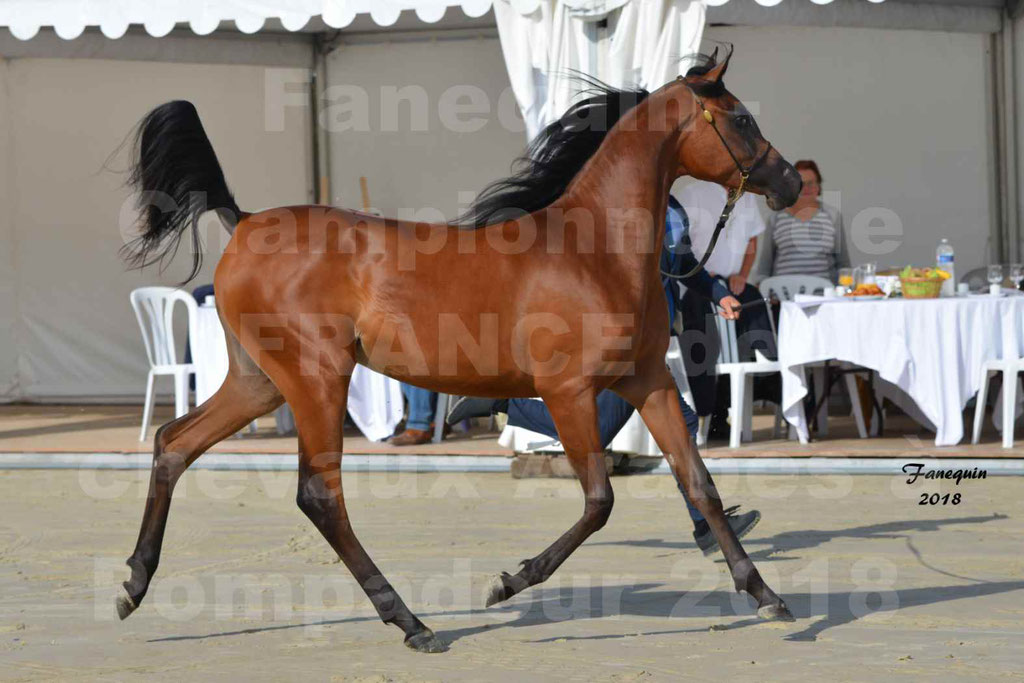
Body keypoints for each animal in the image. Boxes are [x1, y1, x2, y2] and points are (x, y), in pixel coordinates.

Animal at [117, 49, 798, 651]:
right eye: (740, 118)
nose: (789, 181)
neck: (595, 250)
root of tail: (245, 221)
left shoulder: (647, 379)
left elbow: (699, 483)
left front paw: (766, 595)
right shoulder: (567, 391)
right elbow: (600, 501)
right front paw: (509, 582)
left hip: (258, 382)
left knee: (173, 443)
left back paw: (134, 583)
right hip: (316, 378)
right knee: (318, 495)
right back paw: (412, 624)